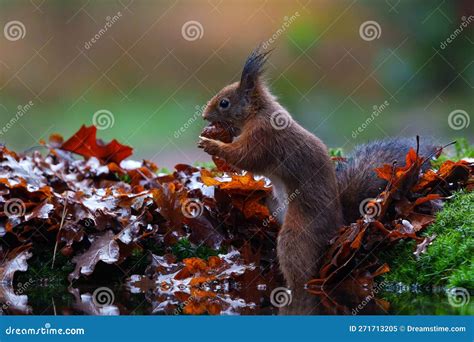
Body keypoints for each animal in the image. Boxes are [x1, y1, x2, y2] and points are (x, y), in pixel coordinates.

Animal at [197, 46, 436, 292]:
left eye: (224, 103)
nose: (204, 116)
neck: (258, 111)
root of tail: (340, 225)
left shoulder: (264, 137)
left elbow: (245, 158)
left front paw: (212, 144)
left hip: (299, 232)